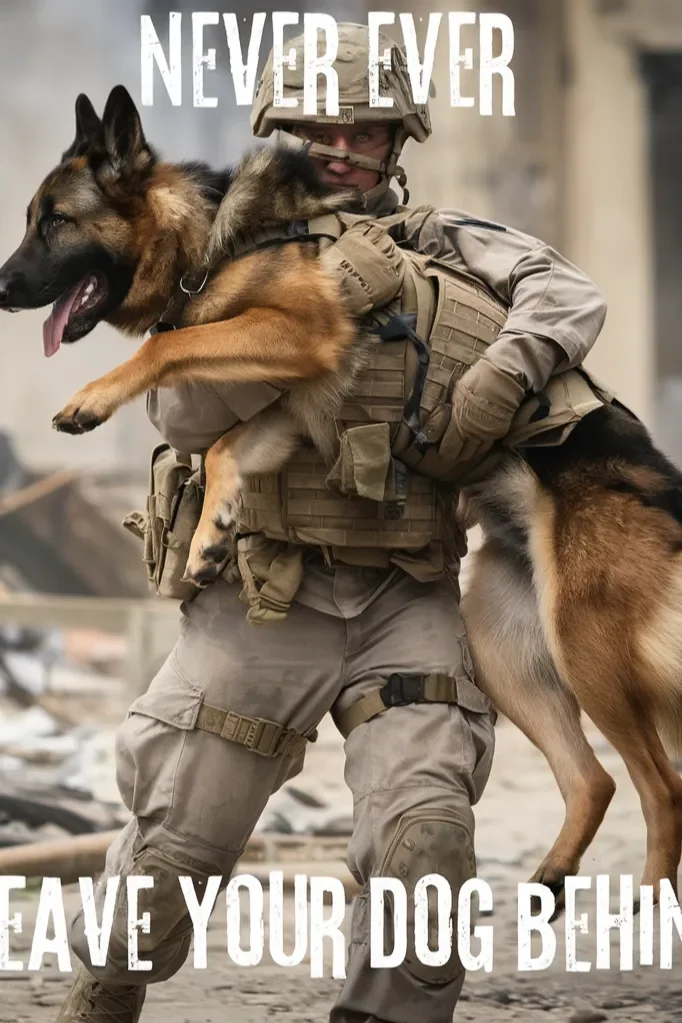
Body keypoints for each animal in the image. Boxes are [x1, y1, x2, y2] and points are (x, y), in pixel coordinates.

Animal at [1, 83, 682, 908]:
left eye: (55, 220)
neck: (215, 239)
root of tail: (662, 486)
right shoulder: (287, 403)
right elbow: (227, 442)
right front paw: (212, 531)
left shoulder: (300, 330)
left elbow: (169, 345)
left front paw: (91, 399)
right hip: (504, 643)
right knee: (593, 779)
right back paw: (551, 874)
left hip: (586, 648)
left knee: (662, 785)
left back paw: (648, 903)